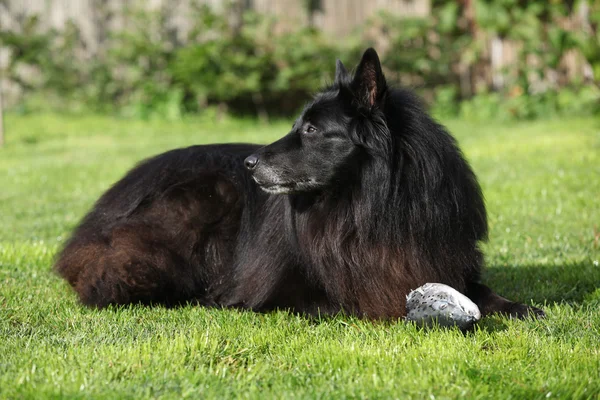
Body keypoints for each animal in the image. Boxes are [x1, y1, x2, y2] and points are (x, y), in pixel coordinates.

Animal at [55, 49, 544, 318]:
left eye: (310, 130)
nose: (250, 163)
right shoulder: (291, 290)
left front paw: (520, 307)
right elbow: (347, 300)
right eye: (295, 126)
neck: (363, 205)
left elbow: (484, 292)